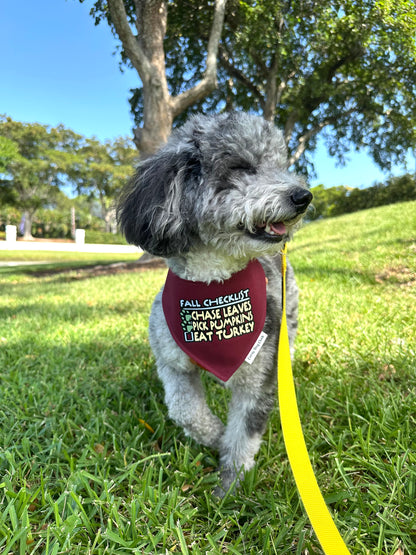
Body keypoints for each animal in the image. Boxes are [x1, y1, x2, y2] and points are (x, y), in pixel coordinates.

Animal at [117, 113, 312, 496]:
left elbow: (243, 436)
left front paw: (230, 484)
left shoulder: (258, 377)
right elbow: (185, 411)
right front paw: (215, 436)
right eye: (241, 167)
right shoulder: (173, 363)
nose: (303, 196)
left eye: (280, 165)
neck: (213, 289)